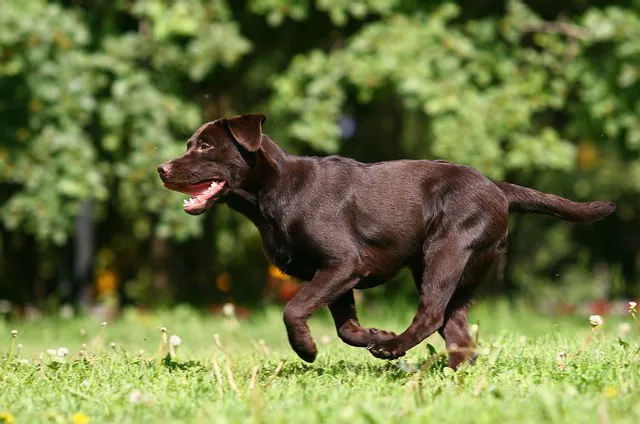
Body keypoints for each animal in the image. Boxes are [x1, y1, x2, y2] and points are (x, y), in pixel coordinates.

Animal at [156, 112, 616, 368]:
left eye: (205, 147)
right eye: (189, 145)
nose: (161, 168)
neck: (274, 190)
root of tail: (499, 189)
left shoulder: (342, 263)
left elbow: (294, 308)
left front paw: (307, 350)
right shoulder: (337, 277)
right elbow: (345, 328)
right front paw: (373, 334)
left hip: (445, 253)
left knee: (432, 313)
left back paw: (394, 350)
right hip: (459, 273)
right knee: (459, 333)